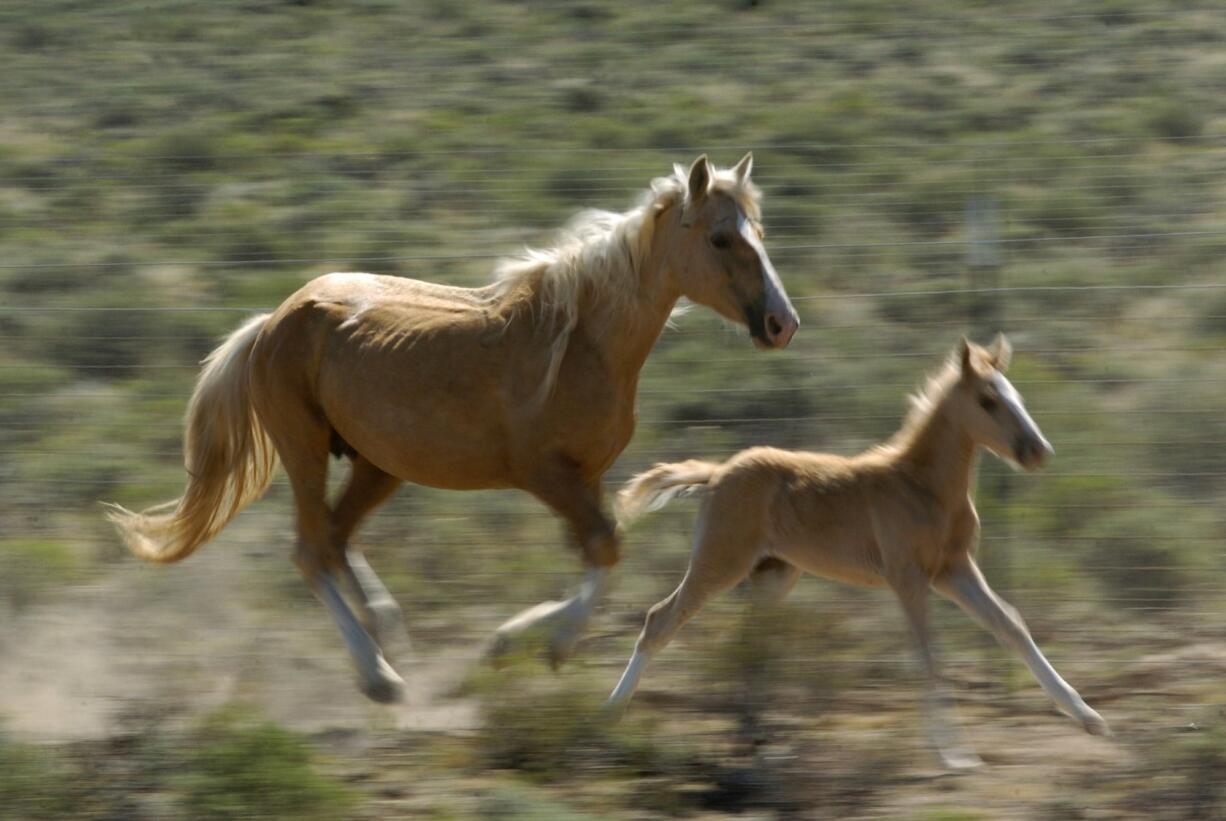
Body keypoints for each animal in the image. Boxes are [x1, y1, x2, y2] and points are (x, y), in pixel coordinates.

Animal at [102, 156, 794, 705]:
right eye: (721, 238)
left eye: (759, 231)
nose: (781, 324)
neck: (580, 341)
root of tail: (271, 321)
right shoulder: (545, 474)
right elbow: (605, 547)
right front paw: (540, 643)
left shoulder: (588, 476)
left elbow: (599, 550)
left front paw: (516, 643)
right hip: (305, 451)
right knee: (311, 549)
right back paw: (379, 676)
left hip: (378, 465)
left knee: (336, 540)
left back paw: (387, 634)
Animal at [608, 335, 1108, 774]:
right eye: (988, 400)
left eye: (1016, 393)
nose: (1038, 451)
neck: (924, 486)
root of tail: (716, 474)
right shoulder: (908, 577)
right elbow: (929, 654)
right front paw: (955, 755)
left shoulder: (954, 570)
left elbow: (1010, 625)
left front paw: (1089, 717)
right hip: (720, 562)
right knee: (660, 620)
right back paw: (611, 713)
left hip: (773, 574)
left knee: (754, 640)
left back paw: (757, 733)